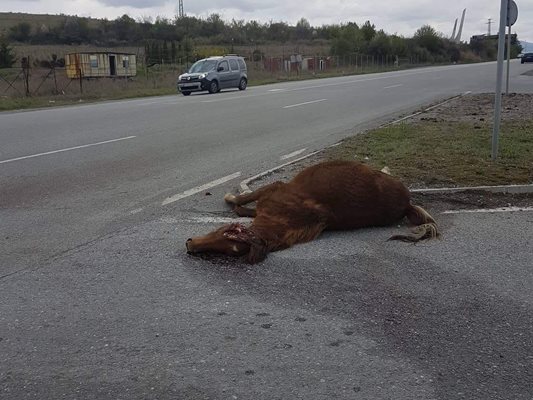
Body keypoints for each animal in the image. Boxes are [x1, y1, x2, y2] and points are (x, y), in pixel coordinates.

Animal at [185, 161, 438, 264]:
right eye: (223, 236)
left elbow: (240, 202)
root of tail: (406, 203)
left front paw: (230, 197)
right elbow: (243, 208)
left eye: (229, 243)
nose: (189, 244)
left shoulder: (274, 187)